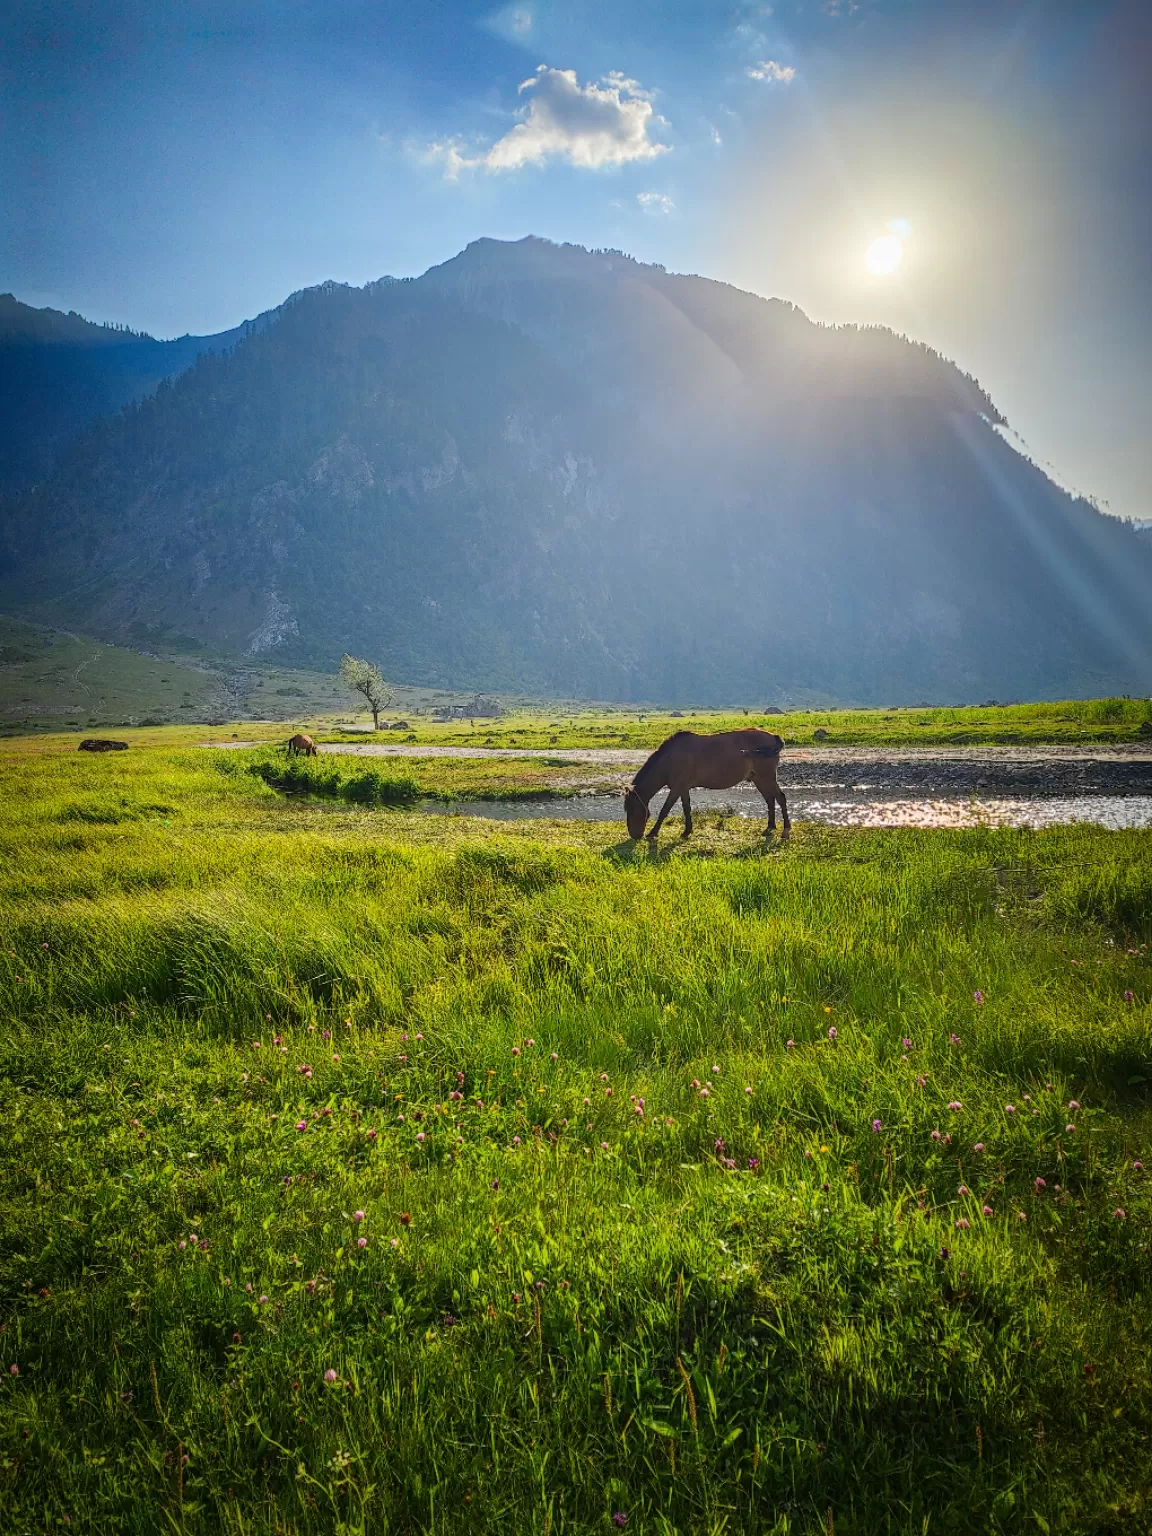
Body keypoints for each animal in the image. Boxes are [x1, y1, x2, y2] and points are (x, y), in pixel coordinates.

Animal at [626, 728, 792, 841]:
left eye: (632, 810)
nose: (634, 835)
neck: (671, 759)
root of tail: (773, 737)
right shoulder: (683, 789)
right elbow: (686, 809)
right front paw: (687, 831)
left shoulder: (677, 788)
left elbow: (664, 810)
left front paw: (653, 833)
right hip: (759, 779)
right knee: (770, 800)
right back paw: (770, 827)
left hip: (767, 778)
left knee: (781, 798)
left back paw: (785, 830)